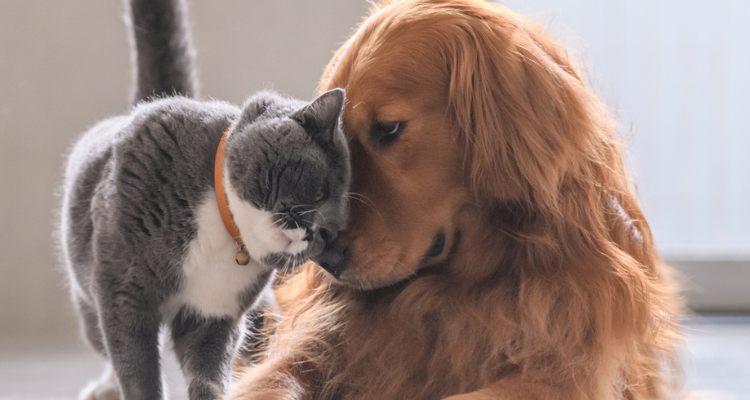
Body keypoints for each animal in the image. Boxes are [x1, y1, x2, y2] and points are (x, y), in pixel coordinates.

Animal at [60, 0, 352, 400]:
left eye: (330, 232)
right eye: (320, 192)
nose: (314, 233)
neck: (221, 228)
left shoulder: (215, 313)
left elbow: (208, 368)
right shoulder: (123, 293)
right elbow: (135, 365)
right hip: (88, 295)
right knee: (103, 342)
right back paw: (105, 388)